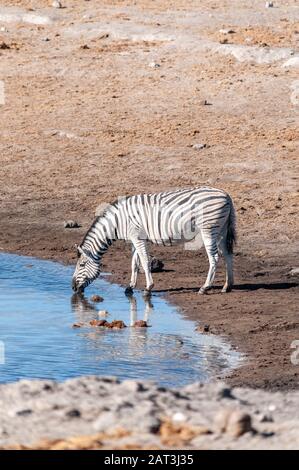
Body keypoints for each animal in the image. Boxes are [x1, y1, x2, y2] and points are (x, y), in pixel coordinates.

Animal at [72, 186, 237, 294]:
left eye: (82, 265)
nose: (72, 287)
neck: (118, 222)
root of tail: (226, 194)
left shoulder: (138, 237)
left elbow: (144, 262)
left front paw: (148, 287)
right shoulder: (135, 239)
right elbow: (134, 264)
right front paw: (130, 287)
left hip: (209, 228)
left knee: (214, 257)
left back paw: (205, 287)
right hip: (221, 230)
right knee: (227, 255)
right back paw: (227, 286)